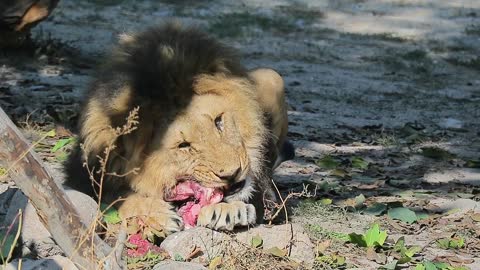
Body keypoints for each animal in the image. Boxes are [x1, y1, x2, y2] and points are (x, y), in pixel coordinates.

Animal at [64, 22, 292, 234]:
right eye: (184, 146)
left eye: (218, 121)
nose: (232, 174)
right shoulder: (83, 176)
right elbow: (115, 198)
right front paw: (155, 214)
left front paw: (228, 210)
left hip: (271, 76)